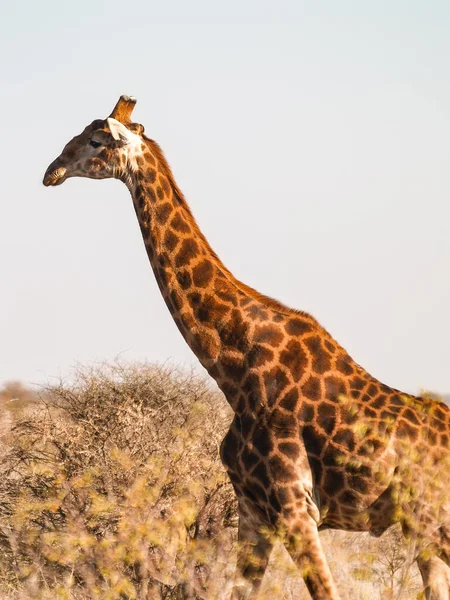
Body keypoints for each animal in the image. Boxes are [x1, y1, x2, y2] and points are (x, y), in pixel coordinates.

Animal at [43, 96, 450, 596]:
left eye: (97, 140)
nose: (52, 170)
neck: (232, 367)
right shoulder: (255, 510)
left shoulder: (295, 507)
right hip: (420, 527)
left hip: (430, 518)